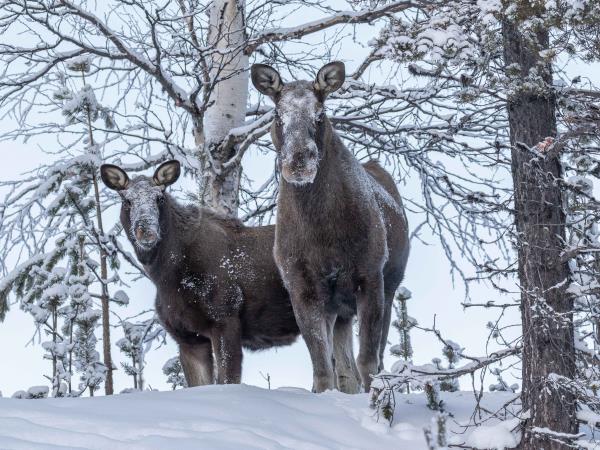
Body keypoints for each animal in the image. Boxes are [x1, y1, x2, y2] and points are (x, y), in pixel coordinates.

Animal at [103, 162, 302, 386]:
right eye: (126, 200)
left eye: (160, 198)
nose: (146, 231)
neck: (164, 277)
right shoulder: (188, 337)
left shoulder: (225, 319)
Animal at [251, 61, 410, 392]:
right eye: (277, 115)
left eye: (320, 114)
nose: (299, 160)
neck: (322, 231)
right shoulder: (302, 287)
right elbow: (323, 370)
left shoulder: (370, 277)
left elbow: (368, 363)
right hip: (340, 307)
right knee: (343, 366)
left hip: (388, 288)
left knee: (372, 360)